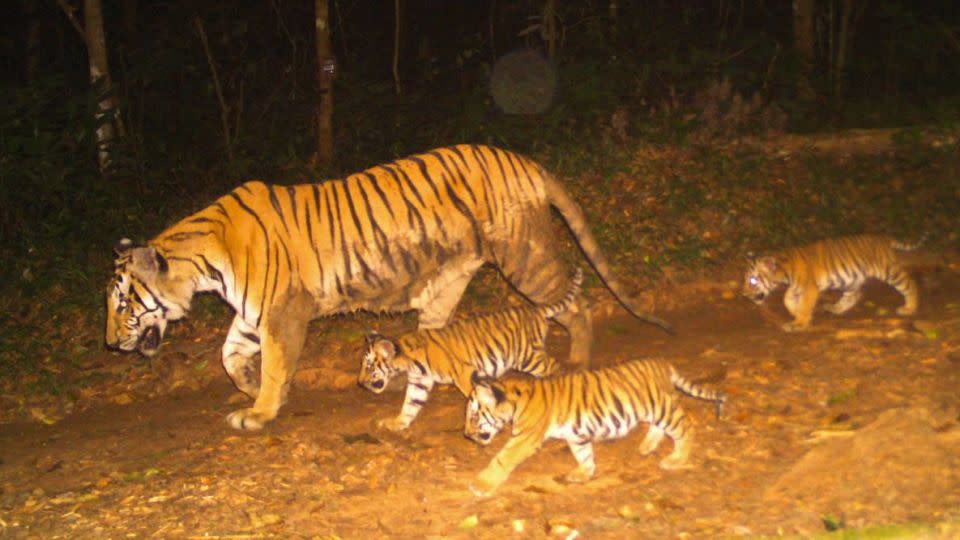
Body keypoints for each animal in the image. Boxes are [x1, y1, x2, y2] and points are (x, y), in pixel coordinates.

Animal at [107, 143, 668, 430]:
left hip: (523, 257)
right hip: (448, 281)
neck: (203, 263)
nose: (111, 344)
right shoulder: (252, 313)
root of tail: (526, 161)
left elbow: (273, 364)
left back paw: (578, 361)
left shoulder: (281, 313)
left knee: (574, 304)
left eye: (121, 302)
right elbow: (229, 356)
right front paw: (246, 389)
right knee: (433, 342)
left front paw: (260, 410)